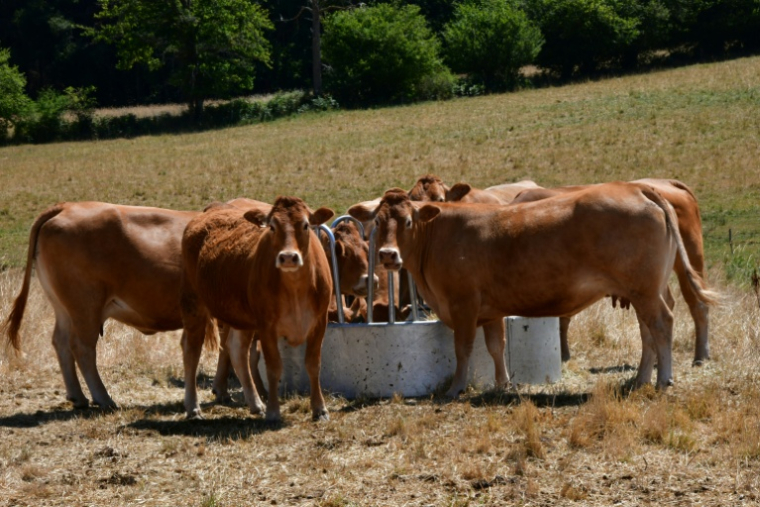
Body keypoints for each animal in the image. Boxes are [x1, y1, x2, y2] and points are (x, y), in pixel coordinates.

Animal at [0, 202, 209, 409]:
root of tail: (66, 206)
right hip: (86, 306)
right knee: (82, 347)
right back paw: (103, 398)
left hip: (63, 308)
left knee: (61, 342)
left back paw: (78, 396)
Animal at [179, 196, 334, 422]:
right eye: (272, 226)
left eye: (305, 225)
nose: (288, 257)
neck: (296, 288)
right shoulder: (267, 326)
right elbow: (274, 367)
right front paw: (273, 411)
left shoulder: (319, 322)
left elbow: (313, 365)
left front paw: (320, 409)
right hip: (194, 304)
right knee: (191, 350)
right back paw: (193, 407)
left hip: (240, 318)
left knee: (236, 351)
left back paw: (255, 403)